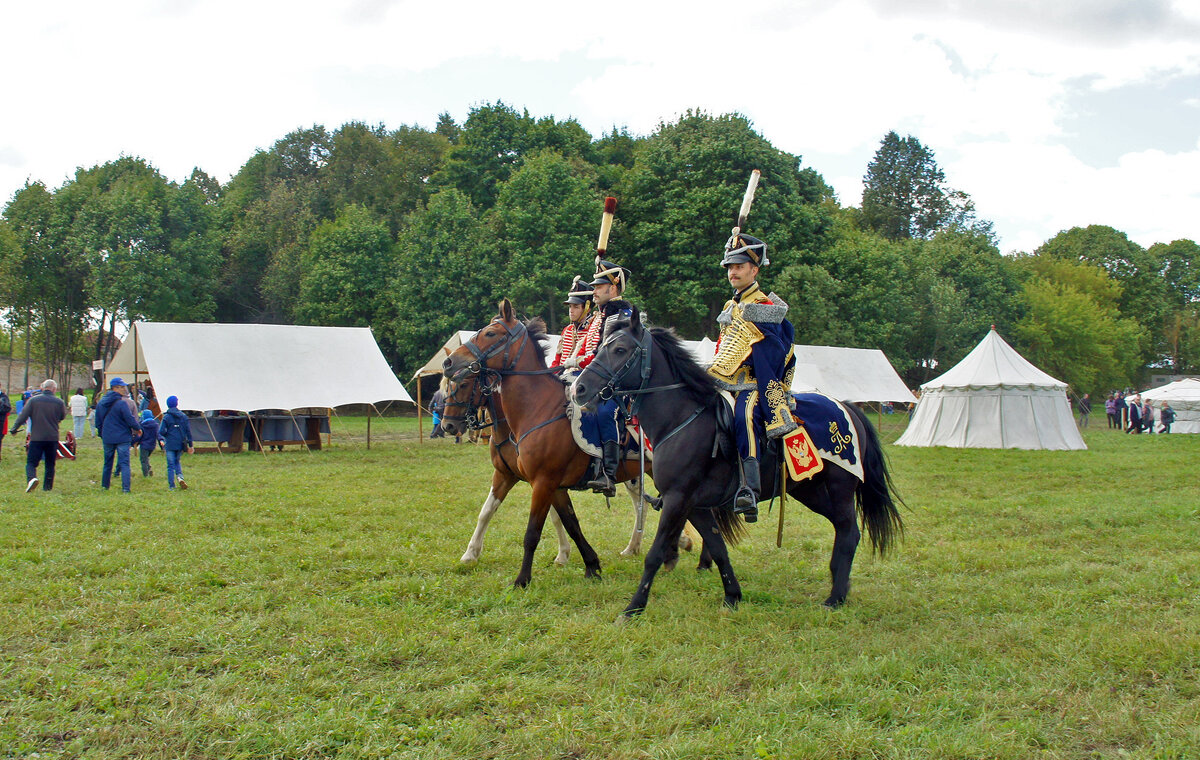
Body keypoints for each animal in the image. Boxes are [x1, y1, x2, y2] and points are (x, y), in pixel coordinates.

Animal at [441, 297, 662, 585]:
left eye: (490, 333)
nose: (448, 363)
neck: (535, 409)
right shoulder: (518, 478)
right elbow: (565, 522)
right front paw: (589, 564)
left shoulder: (544, 481)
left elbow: (533, 531)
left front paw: (523, 579)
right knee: (643, 505)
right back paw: (638, 547)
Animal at [571, 307, 902, 614]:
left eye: (620, 349)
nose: (580, 389)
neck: (681, 418)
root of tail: (846, 407)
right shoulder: (696, 506)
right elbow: (719, 549)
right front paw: (732, 596)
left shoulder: (678, 499)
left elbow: (655, 554)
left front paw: (633, 608)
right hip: (811, 490)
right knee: (842, 530)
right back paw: (839, 589)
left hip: (839, 488)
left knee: (849, 532)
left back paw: (835, 598)